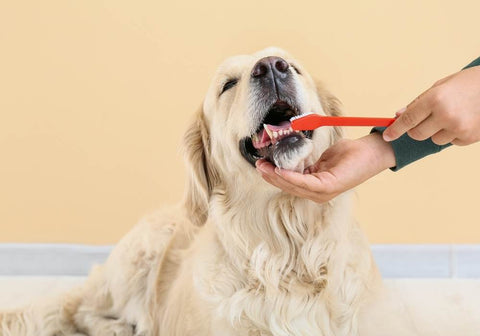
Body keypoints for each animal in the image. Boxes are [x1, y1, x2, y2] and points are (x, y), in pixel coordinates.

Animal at [0, 47, 480, 336]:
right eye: (228, 84)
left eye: (293, 65)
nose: (271, 67)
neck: (287, 247)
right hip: (139, 254)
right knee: (85, 309)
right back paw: (119, 326)